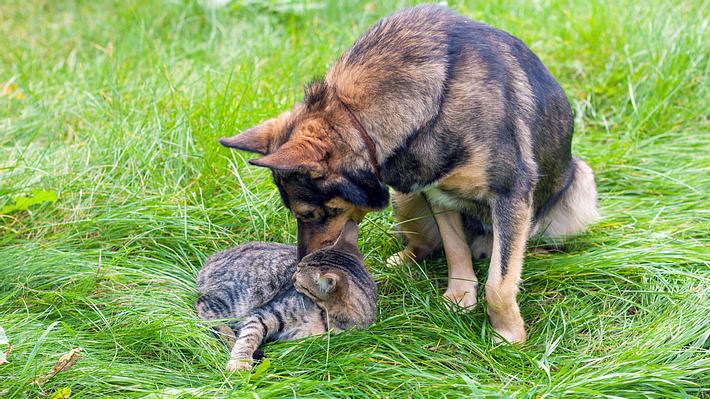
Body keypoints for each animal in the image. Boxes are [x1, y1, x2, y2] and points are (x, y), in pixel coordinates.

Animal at [193, 222, 372, 372]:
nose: (292, 277)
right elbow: (248, 336)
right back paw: (229, 337)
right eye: (297, 267)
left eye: (299, 275)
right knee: (204, 308)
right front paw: (239, 362)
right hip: (246, 294)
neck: (328, 317)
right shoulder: (264, 313)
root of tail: (212, 259)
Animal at [220, 4, 596, 344]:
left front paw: (508, 333)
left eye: (313, 214)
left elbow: (499, 283)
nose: (299, 268)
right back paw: (401, 259)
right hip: (407, 199)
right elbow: (454, 249)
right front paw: (461, 296)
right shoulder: (437, 192)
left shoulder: (510, 194)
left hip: (580, 185)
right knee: (427, 244)